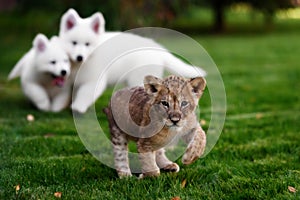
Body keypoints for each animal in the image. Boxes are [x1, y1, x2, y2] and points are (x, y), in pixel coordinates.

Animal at [58, 8, 206, 113]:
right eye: (74, 43)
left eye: (87, 44)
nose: (79, 57)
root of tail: (158, 48)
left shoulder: (94, 80)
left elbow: (85, 93)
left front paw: (78, 107)